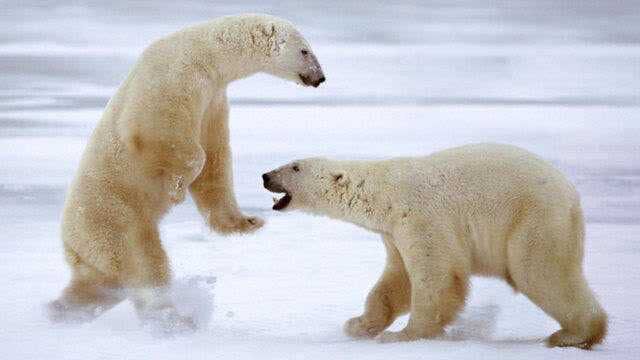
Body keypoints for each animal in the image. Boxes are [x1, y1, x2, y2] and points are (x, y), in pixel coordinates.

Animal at [48, 13, 324, 330]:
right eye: (305, 51)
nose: (320, 78)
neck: (205, 51)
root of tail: (70, 241)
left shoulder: (214, 97)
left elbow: (216, 159)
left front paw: (248, 222)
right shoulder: (175, 78)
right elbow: (165, 135)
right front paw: (176, 188)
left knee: (98, 284)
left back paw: (59, 311)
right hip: (115, 217)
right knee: (143, 263)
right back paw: (175, 319)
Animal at [262, 143, 608, 348]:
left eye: (295, 166)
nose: (265, 175)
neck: (384, 193)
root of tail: (572, 195)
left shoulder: (422, 217)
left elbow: (436, 277)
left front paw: (404, 335)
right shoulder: (393, 232)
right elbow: (396, 281)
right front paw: (358, 324)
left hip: (534, 220)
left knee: (541, 272)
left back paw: (574, 334)